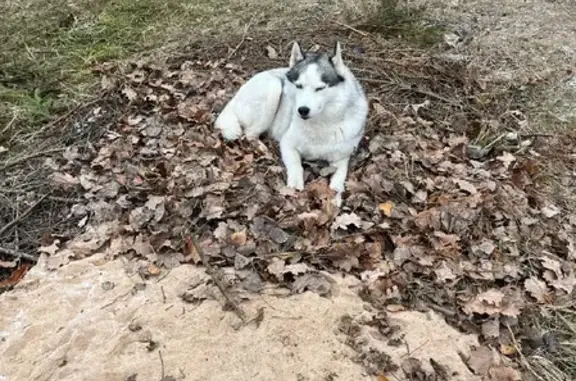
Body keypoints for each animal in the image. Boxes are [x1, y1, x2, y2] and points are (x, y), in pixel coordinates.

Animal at [216, 40, 368, 205]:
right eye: (299, 86)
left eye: (320, 88)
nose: (302, 110)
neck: (320, 124)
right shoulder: (288, 143)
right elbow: (296, 165)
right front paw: (295, 185)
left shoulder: (342, 157)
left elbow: (340, 176)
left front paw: (334, 195)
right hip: (274, 88)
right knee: (249, 134)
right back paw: (263, 149)